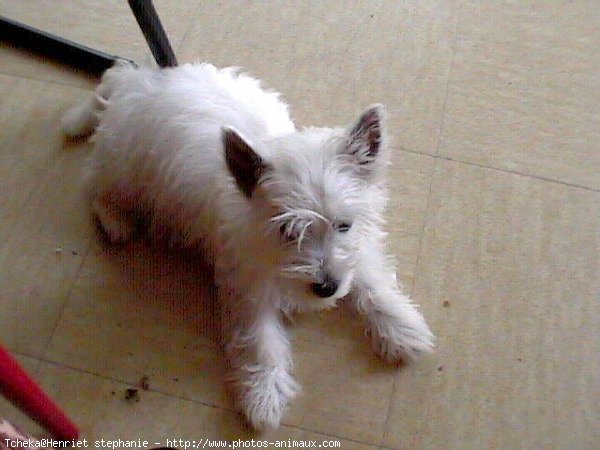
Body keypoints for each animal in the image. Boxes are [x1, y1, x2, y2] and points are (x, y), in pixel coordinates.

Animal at [62, 59, 436, 428]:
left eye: (344, 225)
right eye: (288, 231)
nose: (326, 288)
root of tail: (133, 80)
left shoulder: (357, 249)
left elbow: (372, 281)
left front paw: (402, 329)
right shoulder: (248, 286)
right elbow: (261, 340)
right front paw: (264, 398)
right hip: (128, 168)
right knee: (96, 184)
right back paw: (116, 221)